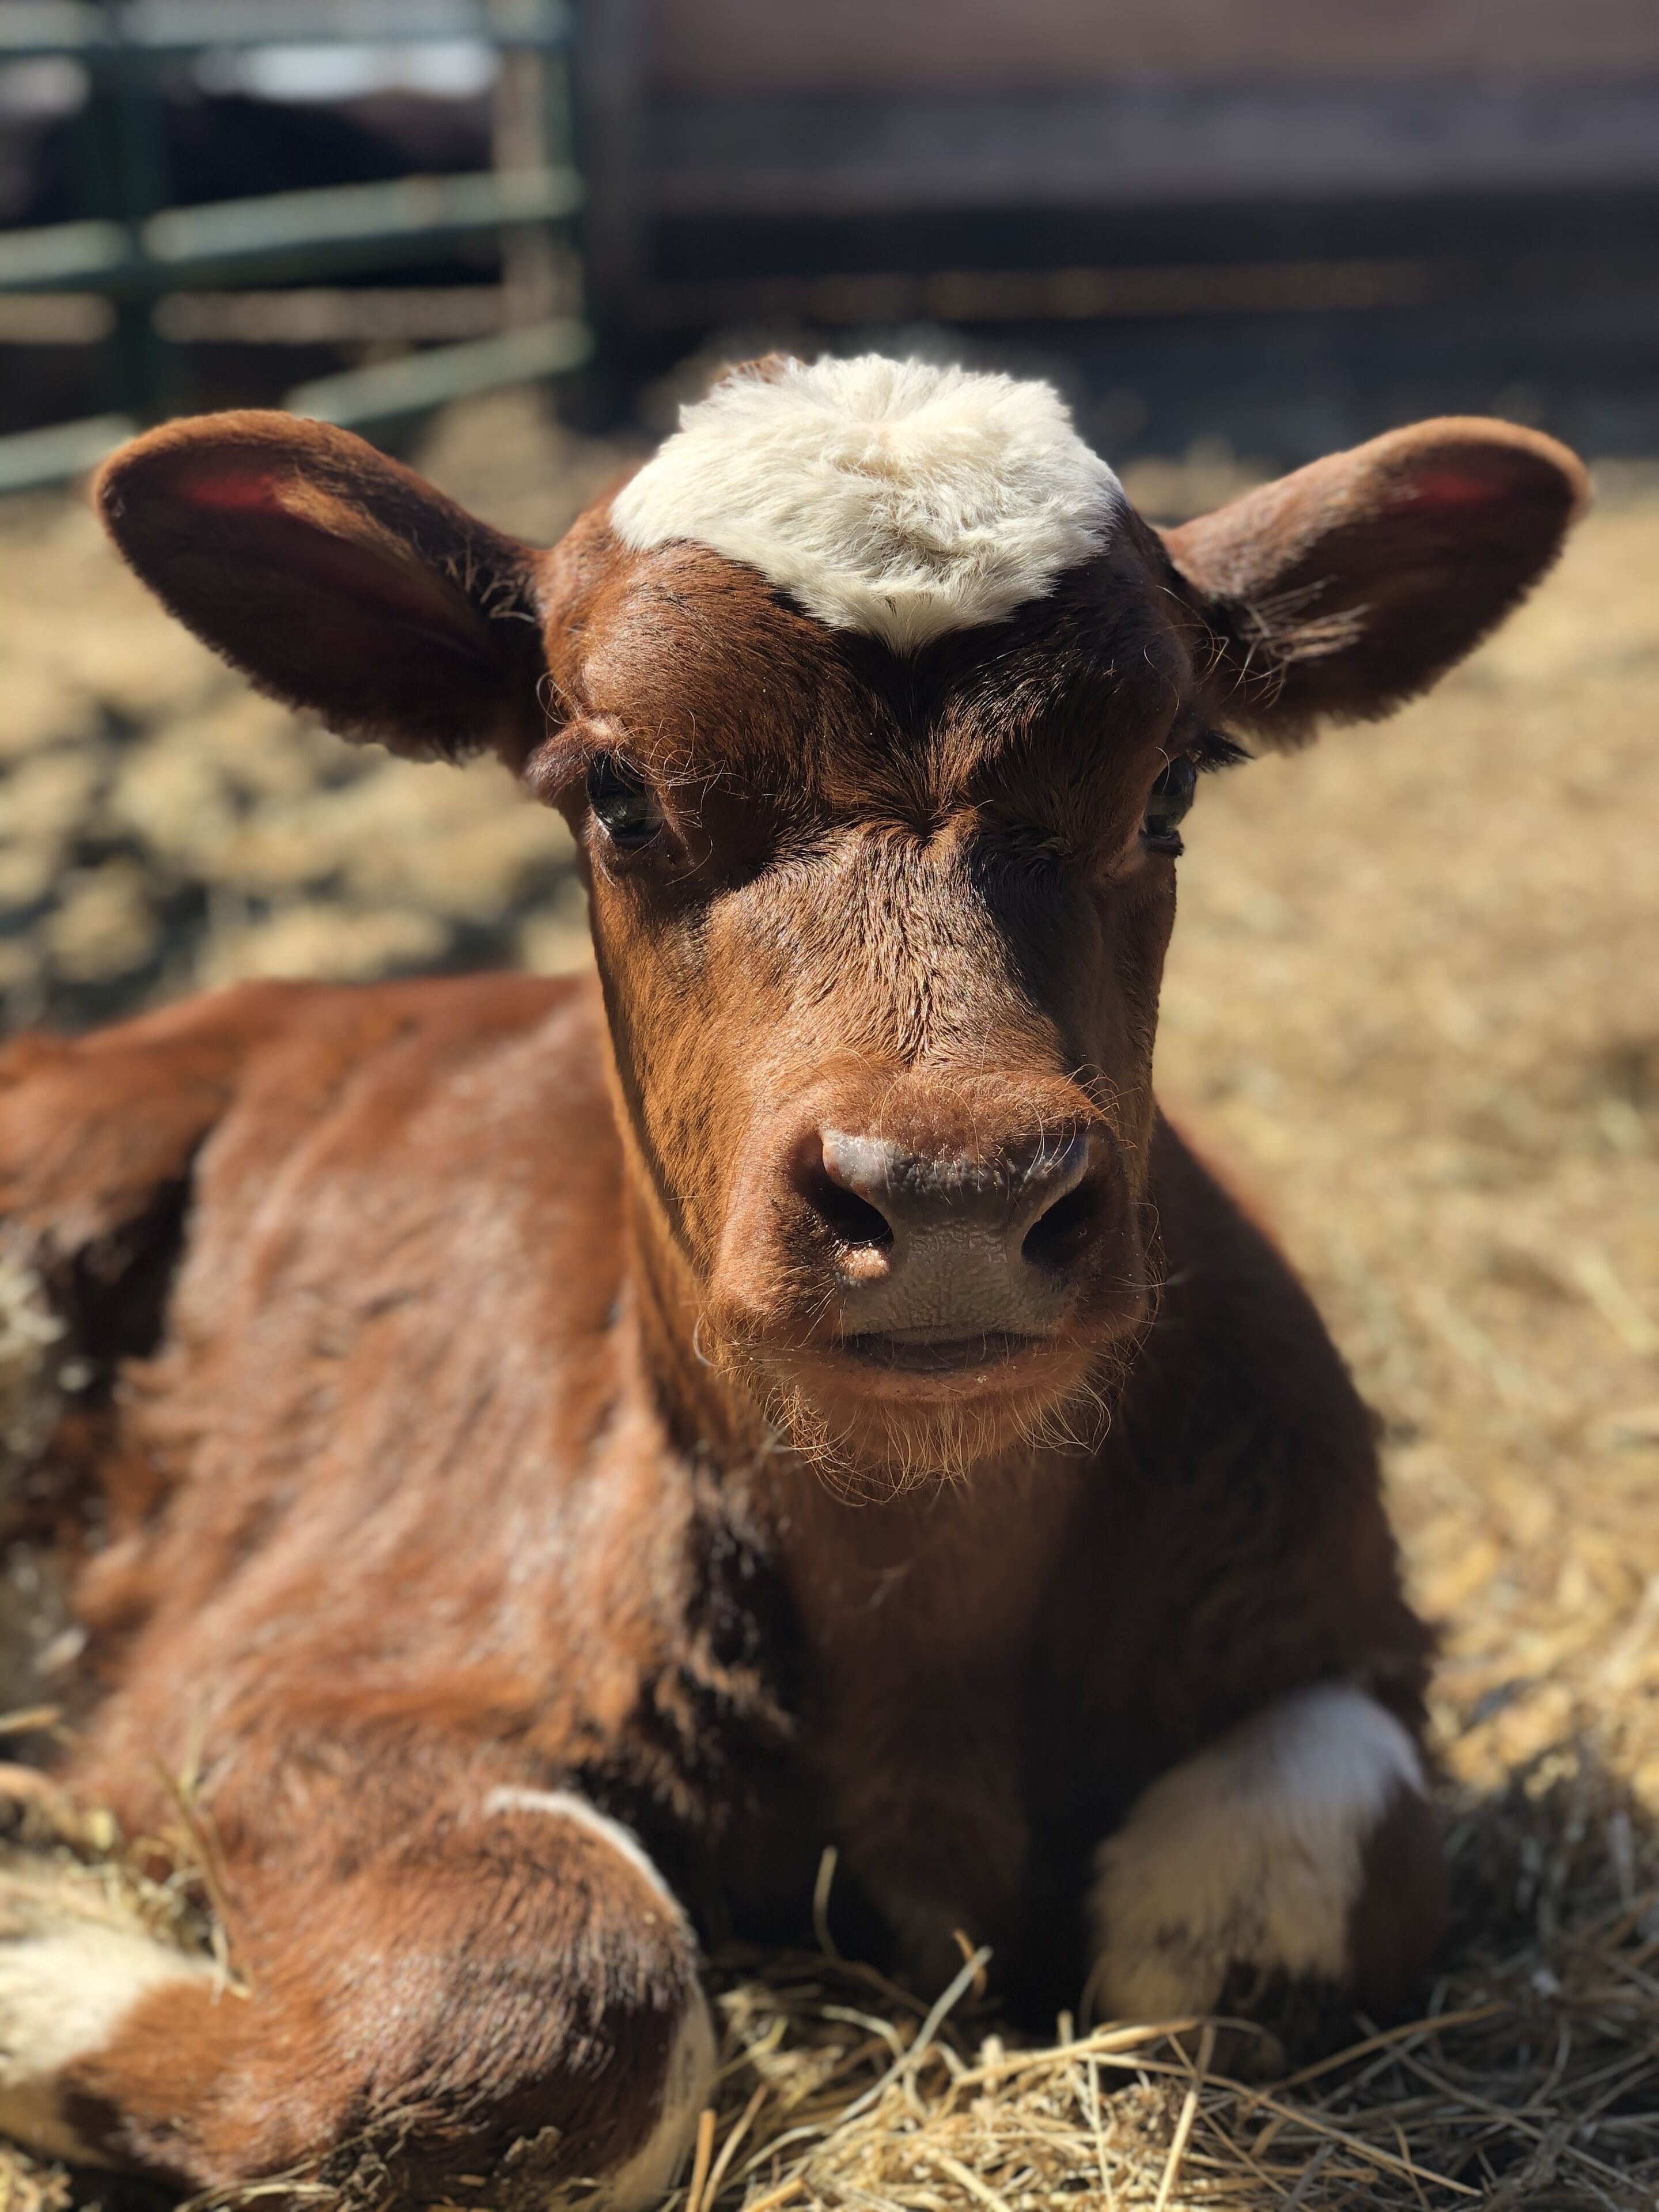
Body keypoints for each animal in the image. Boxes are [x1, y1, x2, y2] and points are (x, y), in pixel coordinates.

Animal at [0, 355, 1585, 2206]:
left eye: (1174, 784)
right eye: (617, 796)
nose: (956, 1193)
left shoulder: (1337, 1631)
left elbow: (1274, 1900)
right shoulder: (284, 1690)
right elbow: (554, 2006)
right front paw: (36, 1947)